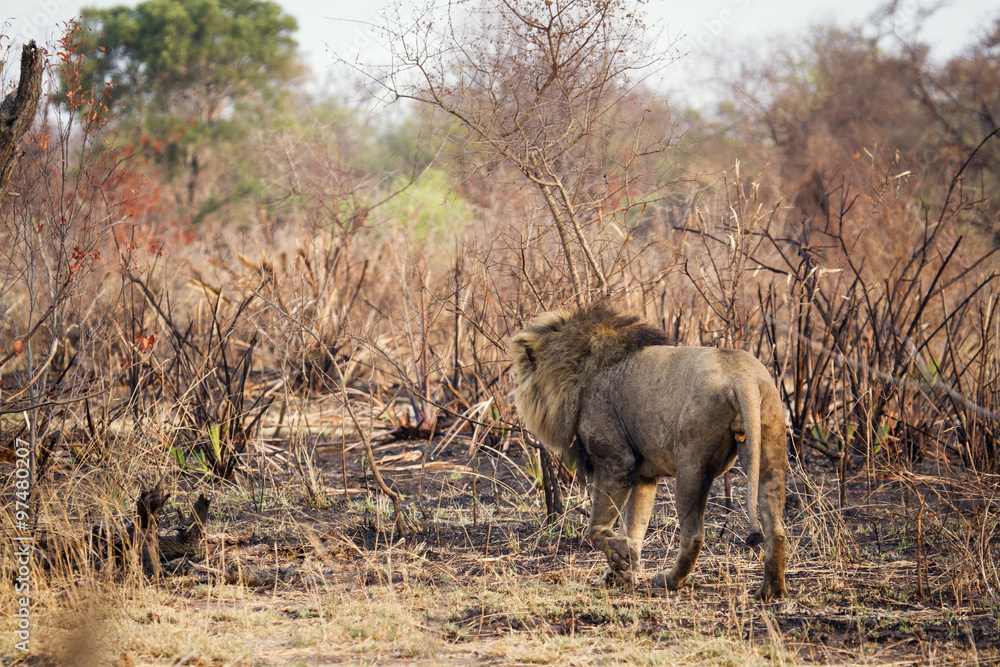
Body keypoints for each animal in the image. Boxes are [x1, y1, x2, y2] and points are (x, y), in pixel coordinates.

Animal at [509, 305, 787, 600]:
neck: (579, 371)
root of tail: (742, 378)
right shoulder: (644, 477)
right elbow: (634, 526)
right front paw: (622, 572)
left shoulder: (614, 460)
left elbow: (597, 527)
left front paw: (620, 557)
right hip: (770, 450)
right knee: (775, 528)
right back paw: (771, 591)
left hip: (691, 467)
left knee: (694, 534)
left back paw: (670, 581)